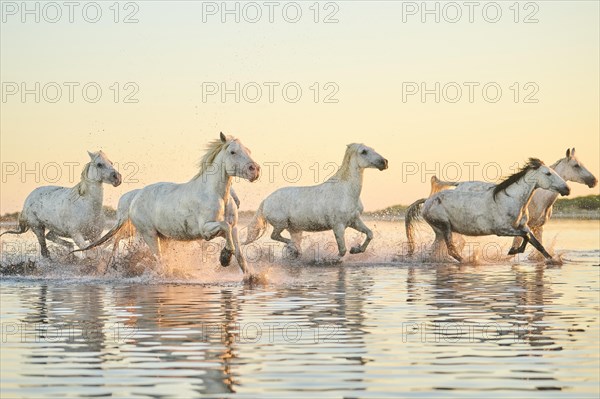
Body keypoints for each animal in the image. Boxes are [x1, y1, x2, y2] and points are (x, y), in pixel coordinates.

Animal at [71, 133, 258, 274]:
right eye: (233, 152)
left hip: (164, 236)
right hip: (150, 235)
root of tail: (135, 198)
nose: (255, 170)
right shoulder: (206, 230)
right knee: (160, 260)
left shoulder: (234, 228)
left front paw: (251, 277)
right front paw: (224, 257)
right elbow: (225, 228)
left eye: (248, 150)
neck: (217, 194)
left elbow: (240, 255)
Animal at [244, 144, 390, 260]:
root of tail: (266, 200)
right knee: (275, 236)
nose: (384, 162)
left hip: (294, 228)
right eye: (364, 151)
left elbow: (369, 234)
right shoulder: (338, 226)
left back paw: (296, 252)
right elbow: (342, 250)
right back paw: (294, 248)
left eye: (373, 149)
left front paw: (356, 250)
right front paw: (330, 260)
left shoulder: (354, 221)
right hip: (281, 224)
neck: (346, 192)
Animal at [406, 149, 596, 256]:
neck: (512, 200)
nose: (567, 189)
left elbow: (538, 245)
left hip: (441, 231)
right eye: (548, 173)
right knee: (452, 250)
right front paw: (513, 251)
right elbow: (525, 239)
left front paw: (553, 261)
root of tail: (428, 200)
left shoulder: (527, 226)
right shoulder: (502, 230)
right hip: (445, 227)